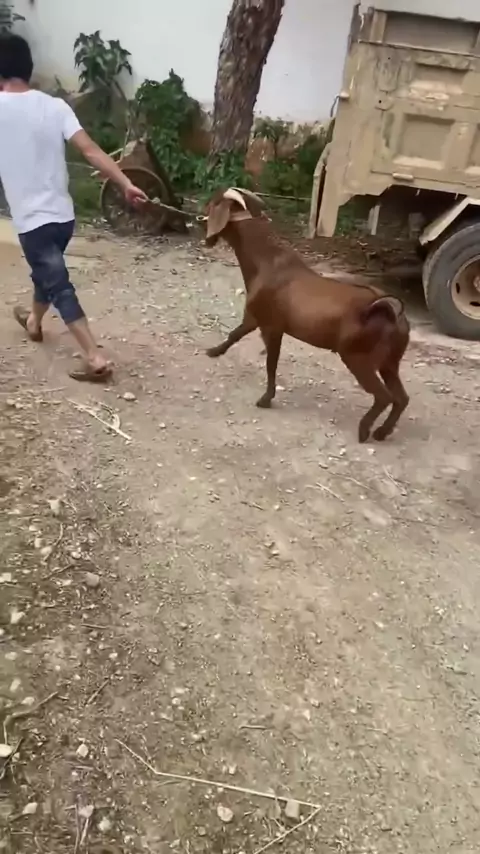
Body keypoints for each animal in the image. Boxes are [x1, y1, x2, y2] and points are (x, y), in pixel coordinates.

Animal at [203, 187, 410, 443]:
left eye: (212, 204)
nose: (202, 225)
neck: (266, 261)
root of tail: (388, 311)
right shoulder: (254, 317)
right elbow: (234, 334)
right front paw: (214, 351)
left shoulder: (272, 327)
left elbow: (271, 364)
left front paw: (266, 399)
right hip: (389, 362)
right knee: (401, 398)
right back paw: (382, 432)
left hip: (357, 357)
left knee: (384, 396)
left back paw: (364, 430)